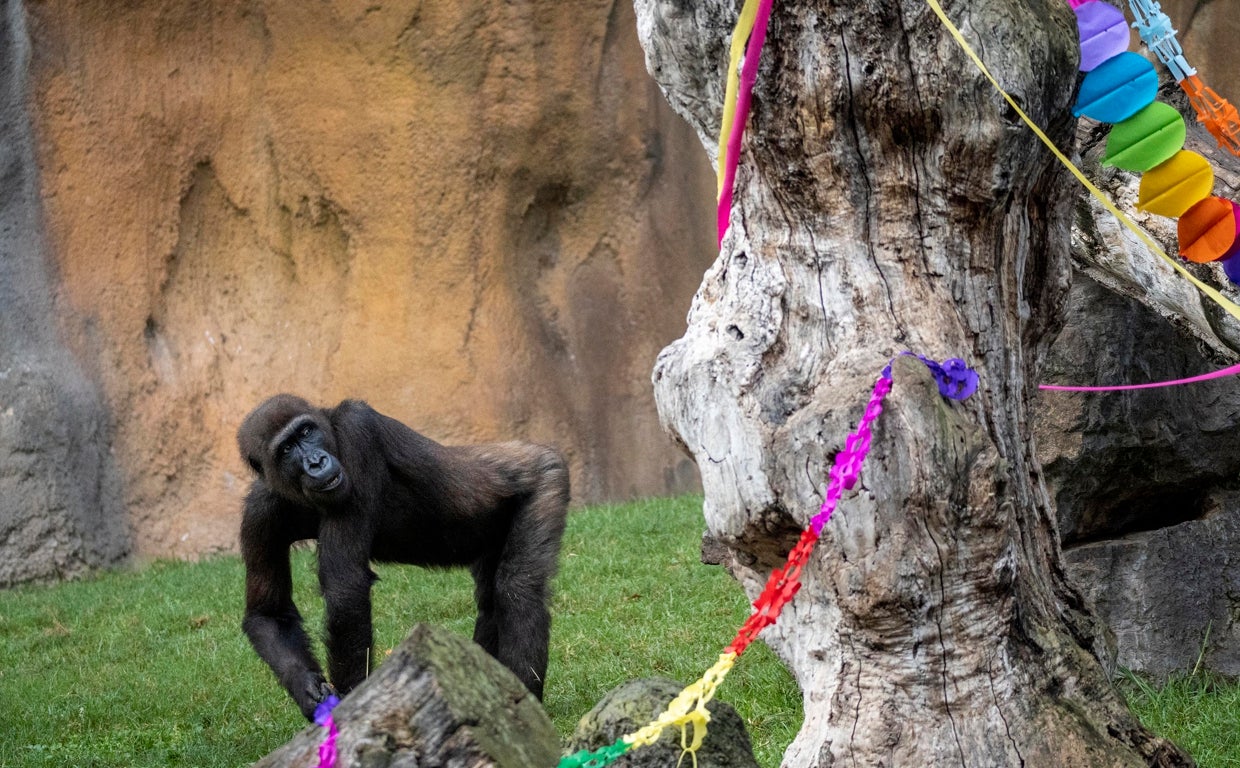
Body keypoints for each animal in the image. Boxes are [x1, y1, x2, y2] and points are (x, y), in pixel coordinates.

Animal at [234, 397, 567, 719]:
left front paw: (351, 709)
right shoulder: (259, 510)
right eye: (286, 449)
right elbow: (269, 613)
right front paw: (307, 688)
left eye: (306, 431)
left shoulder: (356, 432)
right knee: (490, 602)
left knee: (518, 592)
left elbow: (346, 591)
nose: (316, 462)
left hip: (547, 477)